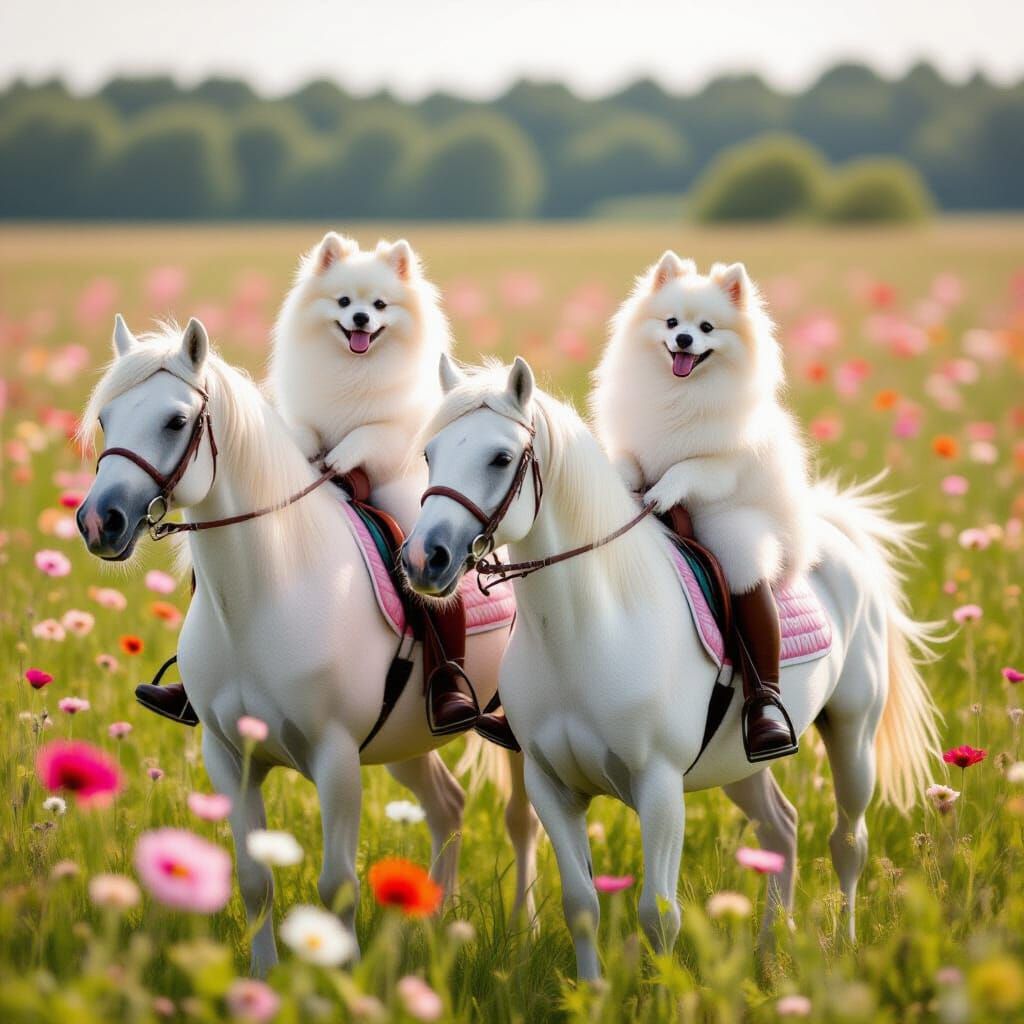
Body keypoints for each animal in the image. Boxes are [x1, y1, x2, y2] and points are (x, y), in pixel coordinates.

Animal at [75, 318, 540, 975]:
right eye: (106, 418)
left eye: (174, 420)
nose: (100, 522)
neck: (264, 597)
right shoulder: (230, 758)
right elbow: (253, 880)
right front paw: (264, 980)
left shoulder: (335, 759)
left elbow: (336, 885)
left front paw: (338, 979)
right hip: (407, 739)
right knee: (447, 806)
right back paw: (433, 927)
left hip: (514, 736)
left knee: (521, 821)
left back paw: (523, 937)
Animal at [401, 355, 942, 981]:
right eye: (428, 454)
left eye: (501, 458)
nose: (425, 559)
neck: (589, 628)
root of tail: (834, 533)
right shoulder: (551, 785)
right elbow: (581, 904)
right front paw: (592, 991)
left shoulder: (658, 786)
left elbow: (658, 914)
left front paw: (661, 991)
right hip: (739, 761)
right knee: (781, 829)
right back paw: (768, 952)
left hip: (853, 736)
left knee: (849, 841)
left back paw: (846, 946)